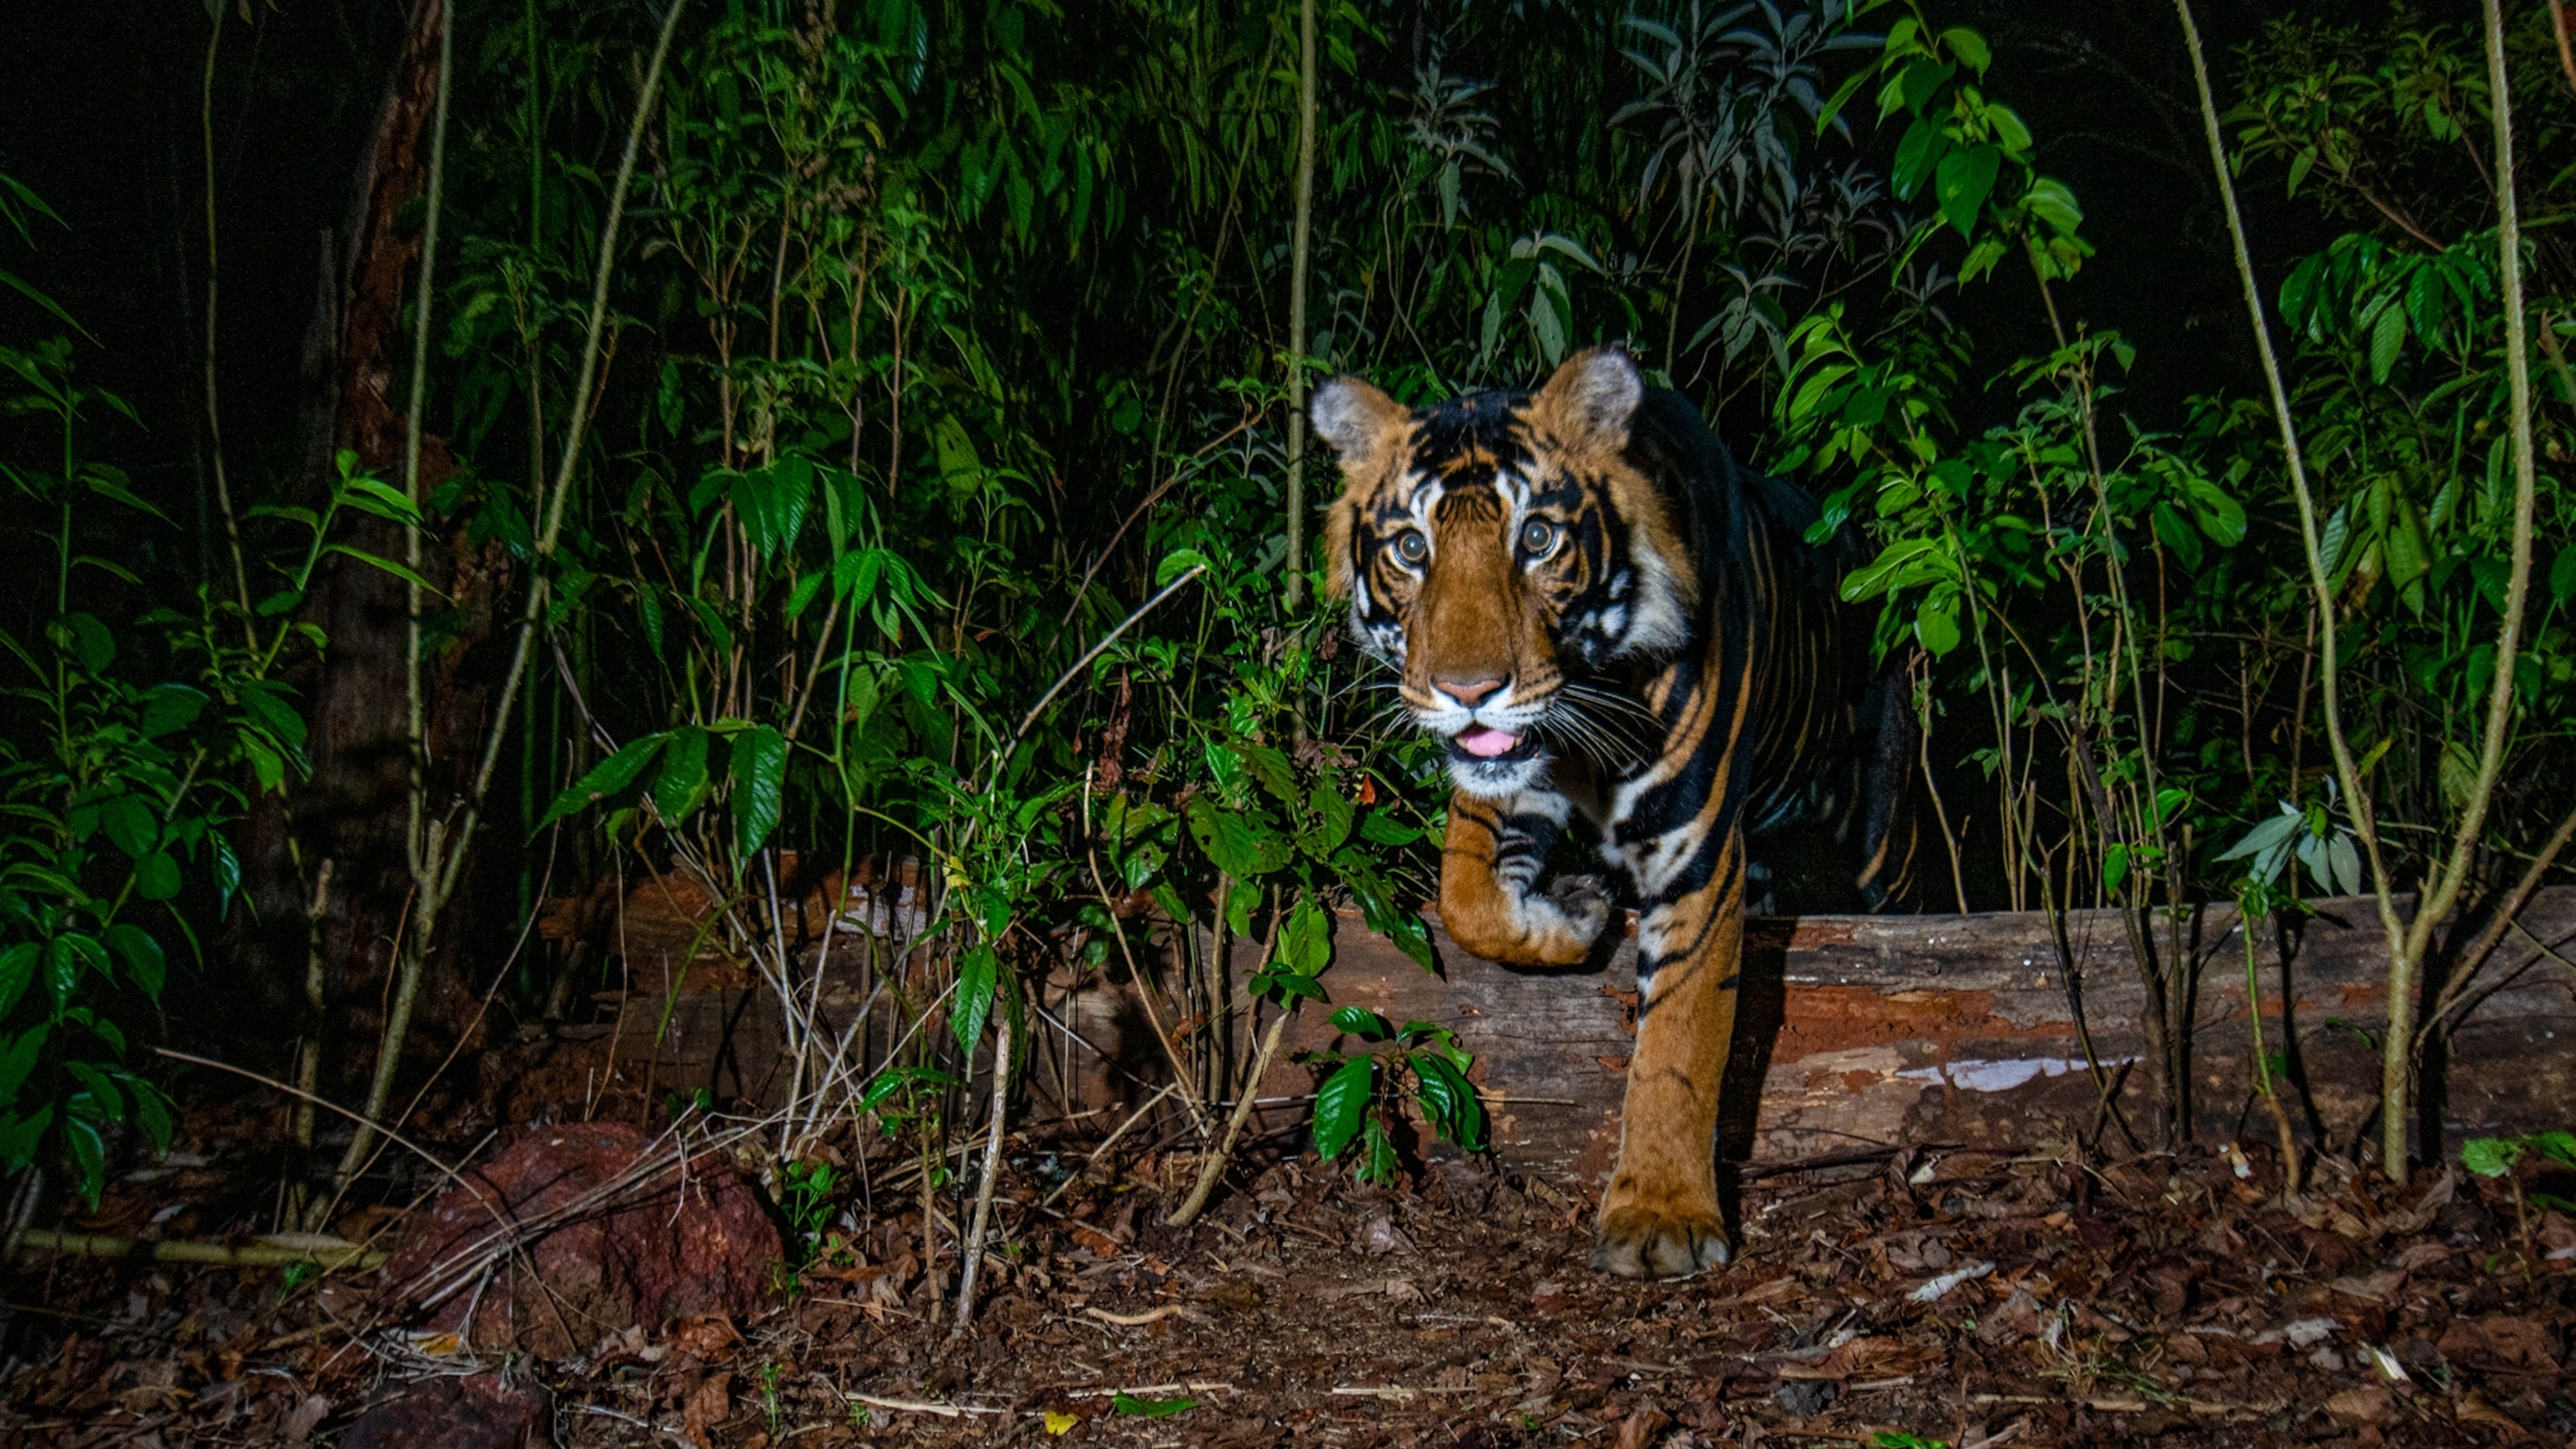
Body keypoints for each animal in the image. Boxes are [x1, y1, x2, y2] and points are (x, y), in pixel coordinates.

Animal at [1310, 347, 1915, 1279]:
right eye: (1412, 547)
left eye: (1536, 539)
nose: (1468, 693)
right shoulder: (1512, 781)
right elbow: (1467, 901)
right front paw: (1577, 911)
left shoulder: (1696, 854)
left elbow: (1680, 1040)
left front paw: (1661, 1216)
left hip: (1886, 827)